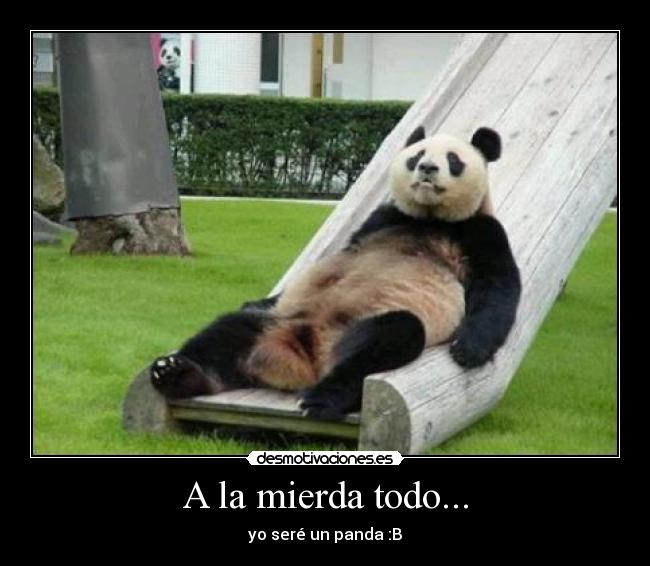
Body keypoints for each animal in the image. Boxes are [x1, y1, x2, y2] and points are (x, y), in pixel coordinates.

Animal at [150, 126, 521, 420]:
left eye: (453, 159)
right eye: (416, 156)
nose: (428, 168)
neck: (428, 218)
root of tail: (302, 359)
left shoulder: (479, 231)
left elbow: (498, 288)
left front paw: (469, 348)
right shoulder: (382, 219)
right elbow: (341, 252)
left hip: (361, 326)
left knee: (389, 338)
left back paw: (322, 399)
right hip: (279, 321)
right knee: (229, 331)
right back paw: (177, 373)